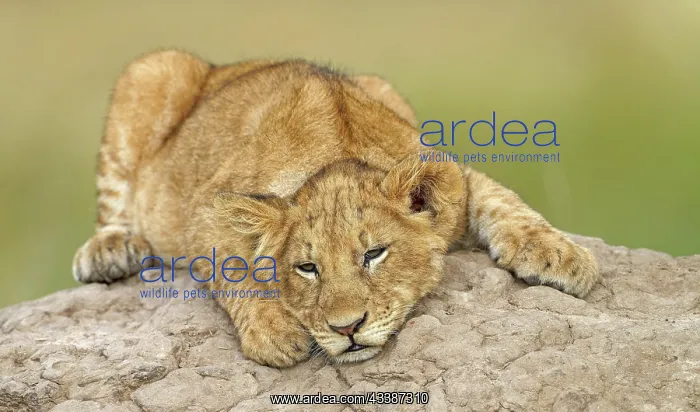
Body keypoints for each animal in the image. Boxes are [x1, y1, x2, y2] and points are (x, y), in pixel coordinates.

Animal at [72, 50, 599, 367]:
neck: (336, 156)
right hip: (152, 70)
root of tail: (225, 66)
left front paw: (563, 257)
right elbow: (233, 268)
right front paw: (275, 332)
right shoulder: (205, 213)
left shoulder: (453, 174)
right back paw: (109, 251)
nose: (346, 329)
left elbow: (505, 202)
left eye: (374, 255)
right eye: (307, 268)